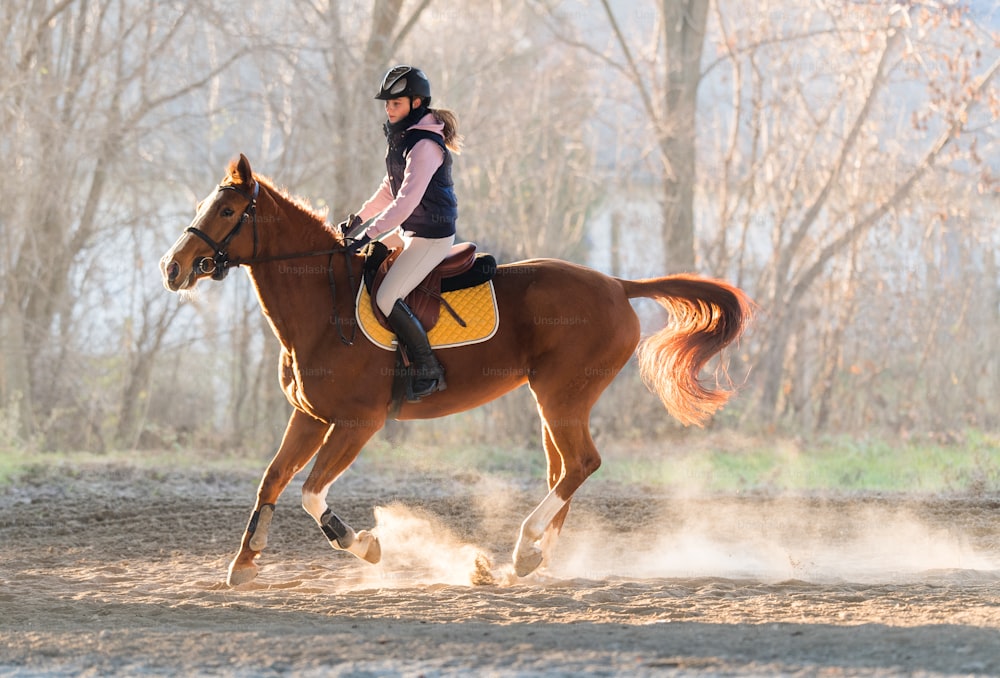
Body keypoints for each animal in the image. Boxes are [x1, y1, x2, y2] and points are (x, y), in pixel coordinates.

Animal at [160, 155, 752, 588]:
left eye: (227, 211)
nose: (172, 268)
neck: (324, 306)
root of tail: (616, 285)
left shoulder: (356, 424)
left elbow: (309, 491)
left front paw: (365, 544)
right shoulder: (310, 417)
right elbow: (274, 478)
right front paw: (245, 563)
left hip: (562, 396)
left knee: (581, 463)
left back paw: (522, 548)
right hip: (554, 401)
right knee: (565, 470)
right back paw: (530, 560)